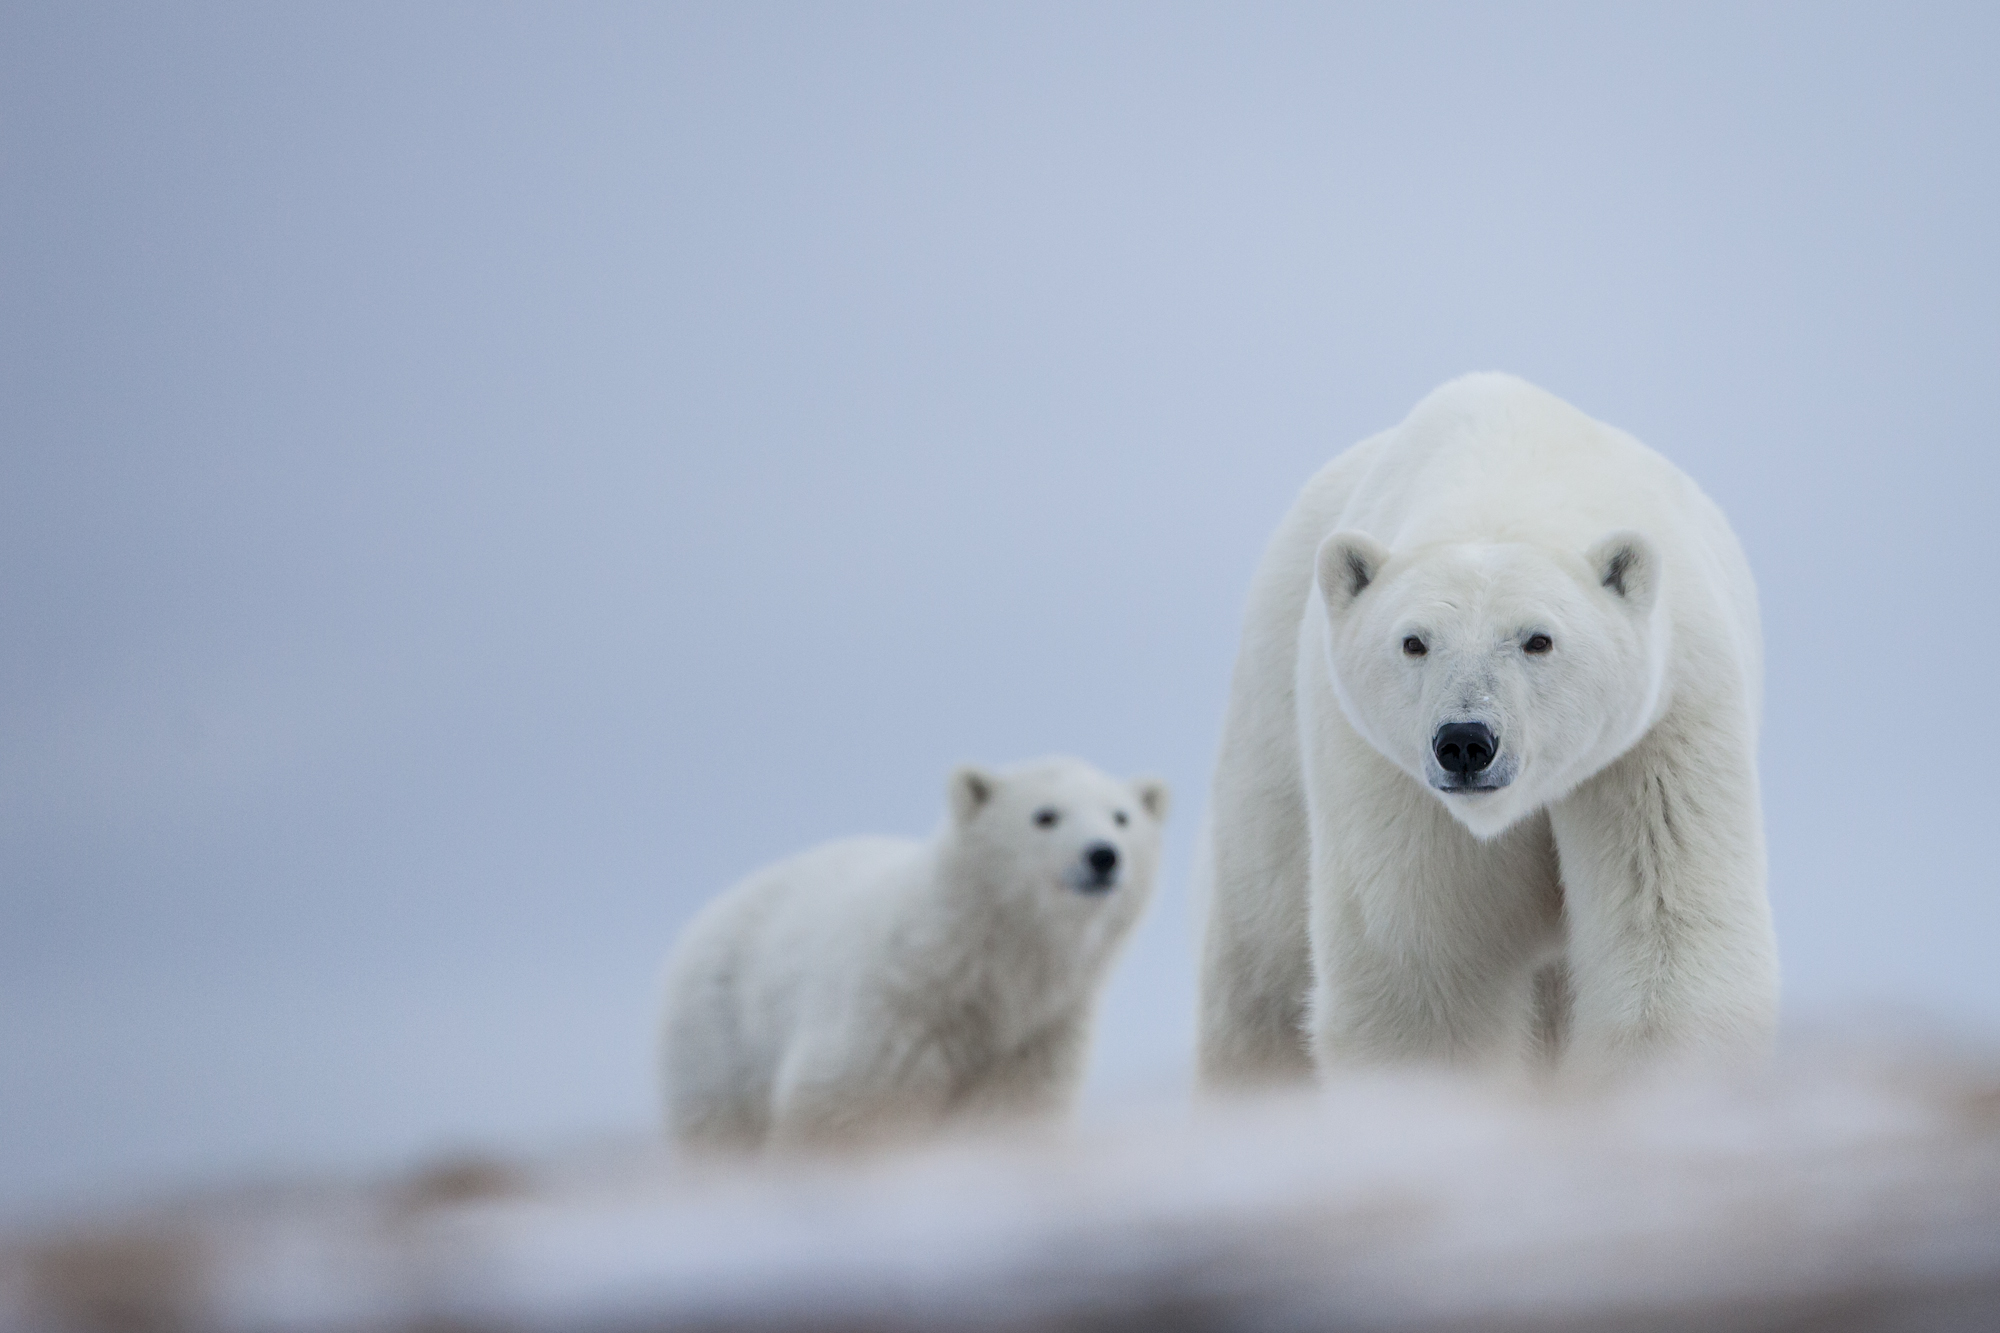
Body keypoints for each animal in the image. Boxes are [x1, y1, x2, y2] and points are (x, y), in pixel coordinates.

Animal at [1200, 370, 1784, 1080]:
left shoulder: (1661, 730)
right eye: (1414, 642)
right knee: (1262, 955)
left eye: (1538, 639)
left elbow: (1668, 928)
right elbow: (1426, 973)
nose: (1465, 743)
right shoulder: (1386, 771)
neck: (1504, 478)